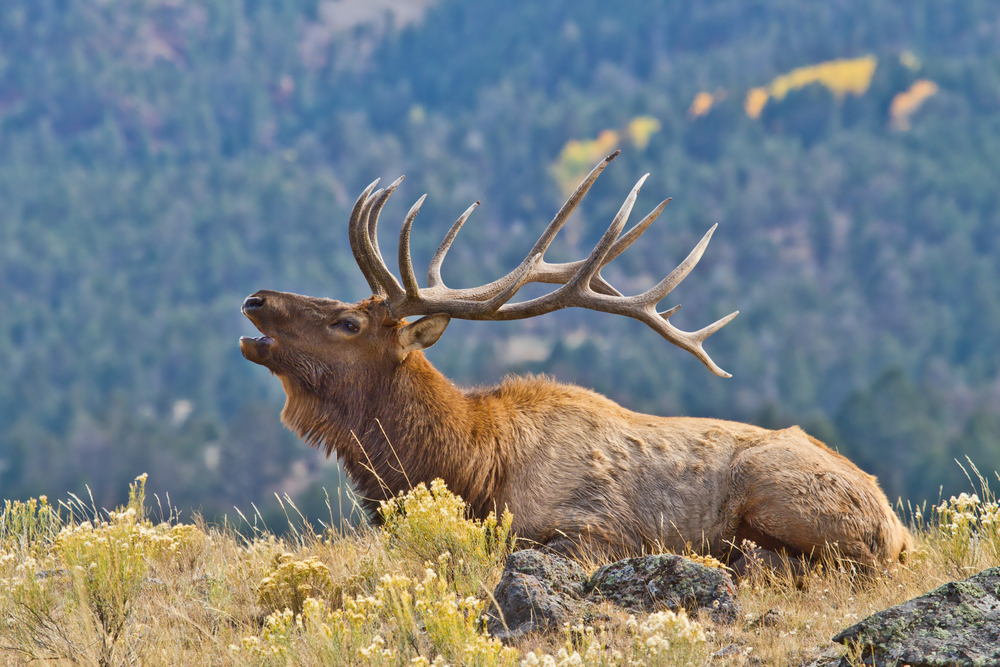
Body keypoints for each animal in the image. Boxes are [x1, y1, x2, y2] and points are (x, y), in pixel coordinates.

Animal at [238, 153, 912, 568]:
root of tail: (897, 527)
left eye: (348, 323)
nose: (255, 299)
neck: (473, 465)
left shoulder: (597, 530)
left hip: (780, 496)